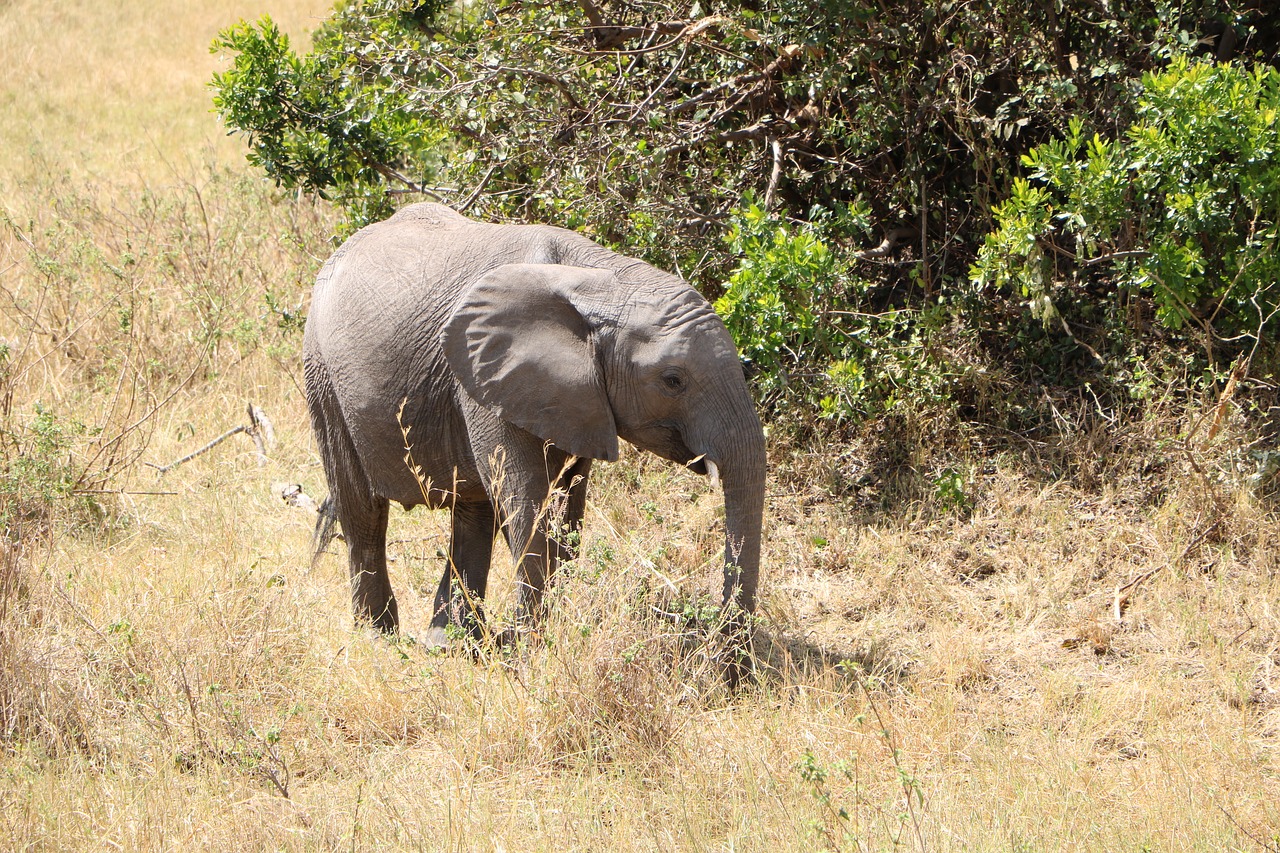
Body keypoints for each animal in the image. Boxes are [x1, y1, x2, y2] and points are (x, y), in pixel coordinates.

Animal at [302, 202, 757, 653]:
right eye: (673, 380)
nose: (736, 663)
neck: (602, 282)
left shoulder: (575, 398)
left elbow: (568, 511)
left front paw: (525, 639)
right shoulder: (487, 375)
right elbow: (524, 501)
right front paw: (528, 647)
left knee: (473, 512)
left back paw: (449, 645)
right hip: (322, 374)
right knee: (362, 512)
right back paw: (379, 639)